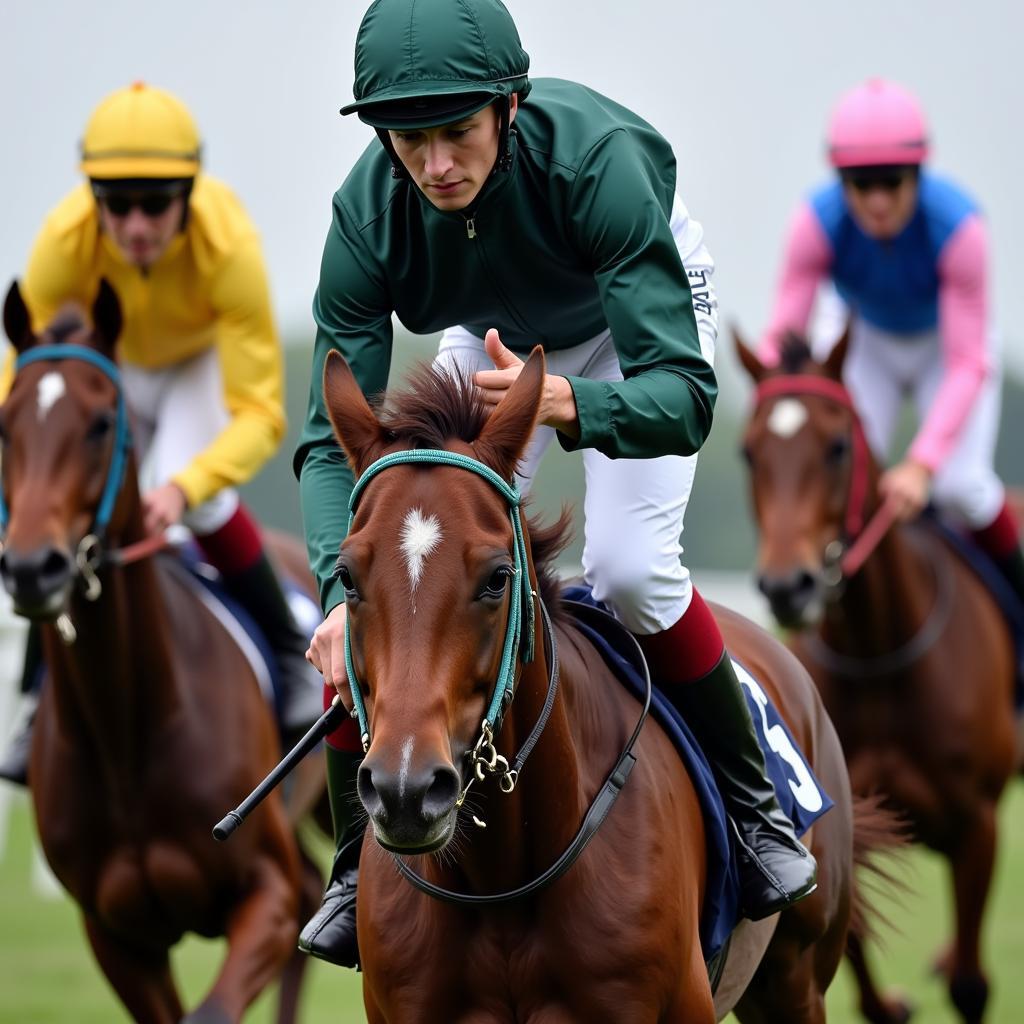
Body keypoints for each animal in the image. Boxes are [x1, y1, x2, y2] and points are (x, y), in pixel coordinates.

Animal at [0, 280, 325, 1024]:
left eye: (99, 424)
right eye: (3, 425)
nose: (33, 568)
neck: (127, 732)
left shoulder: (263, 893)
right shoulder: (115, 934)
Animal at [737, 329, 1015, 1024]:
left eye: (838, 447)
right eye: (749, 452)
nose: (787, 586)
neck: (878, 653)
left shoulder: (978, 824)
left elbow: (971, 985)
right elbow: (867, 985)